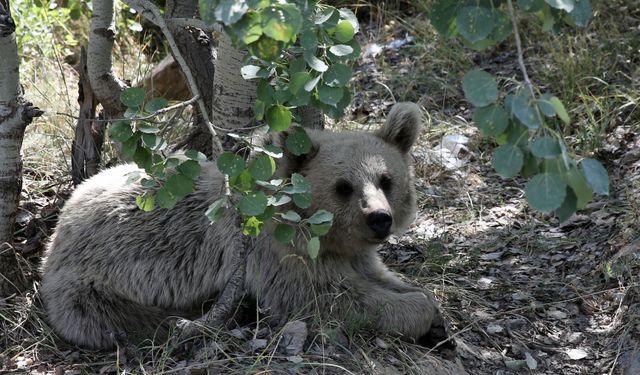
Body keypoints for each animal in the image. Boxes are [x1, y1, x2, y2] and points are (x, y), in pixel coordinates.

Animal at [38, 102, 450, 350]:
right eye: (343, 186)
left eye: (386, 179)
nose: (379, 218)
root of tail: (59, 225)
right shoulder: (278, 254)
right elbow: (329, 298)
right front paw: (420, 314)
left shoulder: (352, 252)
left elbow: (376, 276)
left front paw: (431, 309)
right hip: (90, 287)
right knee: (126, 320)